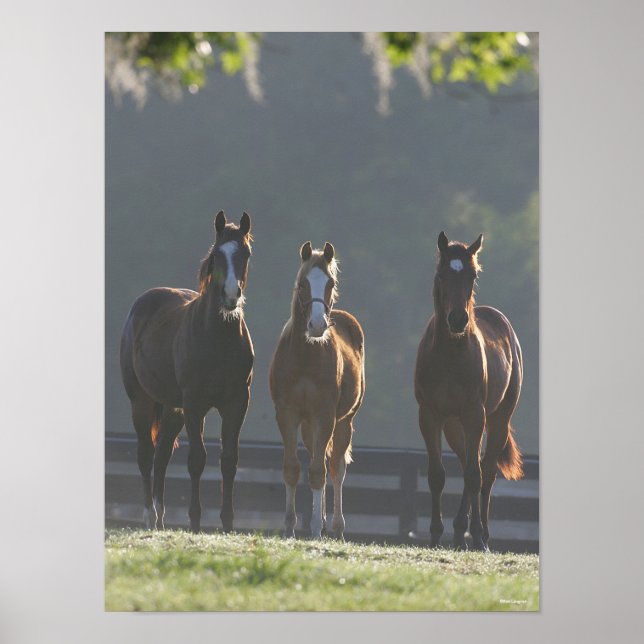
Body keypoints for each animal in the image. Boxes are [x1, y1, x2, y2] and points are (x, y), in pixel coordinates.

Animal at [119, 210, 254, 533]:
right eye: (217, 255)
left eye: (245, 253)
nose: (231, 295)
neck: (217, 338)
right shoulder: (195, 404)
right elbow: (197, 459)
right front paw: (194, 521)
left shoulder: (236, 403)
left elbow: (229, 460)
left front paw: (227, 523)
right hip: (142, 401)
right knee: (146, 455)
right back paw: (148, 516)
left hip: (172, 409)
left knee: (162, 455)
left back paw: (160, 517)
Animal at [269, 242, 365, 540]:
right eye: (302, 284)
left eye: (330, 283)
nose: (318, 325)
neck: (305, 357)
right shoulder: (287, 414)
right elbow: (292, 468)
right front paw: (289, 526)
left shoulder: (325, 415)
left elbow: (319, 473)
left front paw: (313, 530)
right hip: (309, 424)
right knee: (317, 458)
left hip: (343, 421)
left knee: (335, 468)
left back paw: (335, 527)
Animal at [414, 231, 523, 551]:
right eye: (441, 274)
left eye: (472, 275)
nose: (458, 319)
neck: (450, 355)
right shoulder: (430, 416)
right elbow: (437, 475)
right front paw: (436, 534)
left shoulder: (475, 415)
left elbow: (475, 476)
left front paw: (470, 533)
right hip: (454, 425)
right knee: (467, 462)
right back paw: (462, 532)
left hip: (497, 420)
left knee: (485, 472)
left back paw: (480, 535)